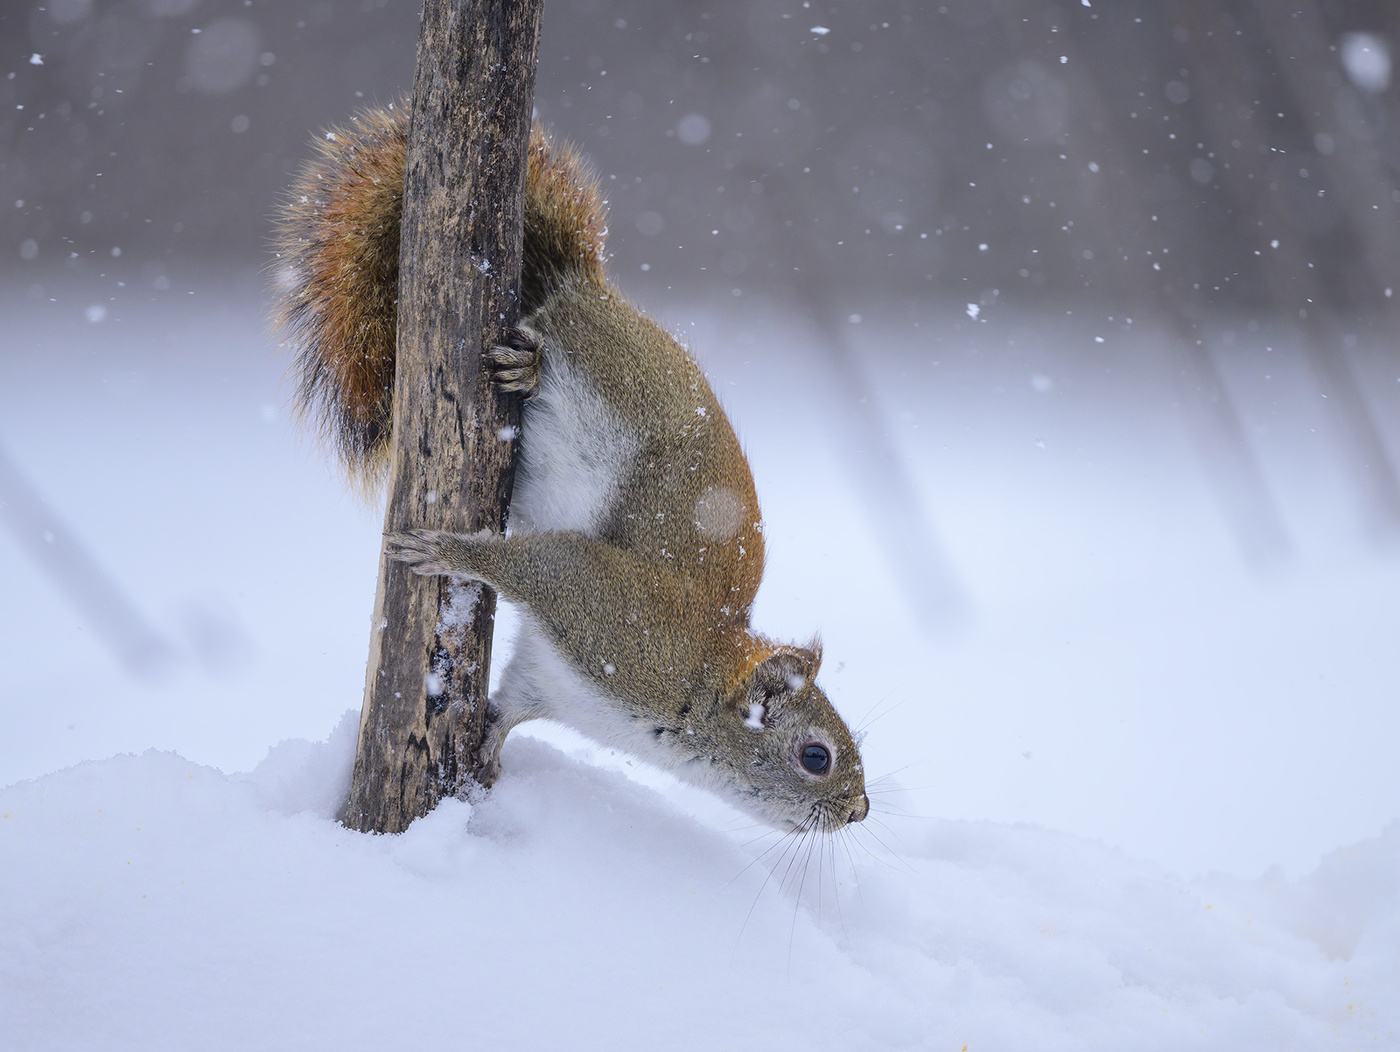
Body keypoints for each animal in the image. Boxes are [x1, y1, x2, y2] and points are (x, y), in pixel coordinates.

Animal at [273, 104, 869, 834]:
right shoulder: (615, 616)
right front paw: (449, 551)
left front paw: (490, 755)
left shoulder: (550, 681)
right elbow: (540, 564)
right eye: (816, 756)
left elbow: (513, 708)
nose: (860, 809)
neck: (699, 685)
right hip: (602, 365)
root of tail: (586, 288)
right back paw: (527, 366)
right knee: (547, 334)